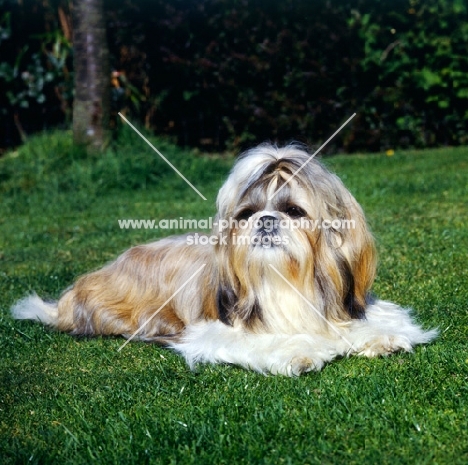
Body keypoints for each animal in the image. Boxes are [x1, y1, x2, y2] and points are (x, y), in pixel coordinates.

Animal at [11, 143, 436, 376]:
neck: (284, 281)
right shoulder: (216, 330)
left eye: (294, 211)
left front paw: (380, 337)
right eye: (247, 213)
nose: (266, 220)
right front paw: (299, 350)